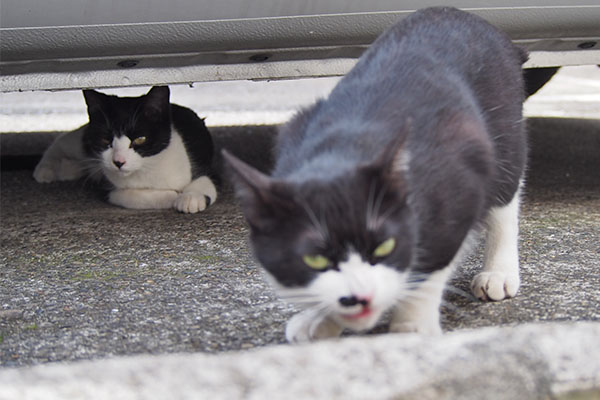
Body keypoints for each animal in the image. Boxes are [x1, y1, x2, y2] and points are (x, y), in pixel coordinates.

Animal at [34, 86, 217, 214]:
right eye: (105, 139)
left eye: (140, 139)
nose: (118, 161)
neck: (147, 169)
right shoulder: (107, 188)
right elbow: (132, 196)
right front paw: (171, 195)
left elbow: (207, 182)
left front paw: (190, 197)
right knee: (62, 140)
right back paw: (45, 169)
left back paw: (68, 169)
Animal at [224, 7, 524, 342]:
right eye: (315, 258)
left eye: (383, 246)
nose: (359, 297)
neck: (343, 150)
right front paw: (320, 319)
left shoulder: (458, 180)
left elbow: (434, 260)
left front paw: (412, 326)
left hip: (505, 131)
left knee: (505, 199)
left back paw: (499, 271)